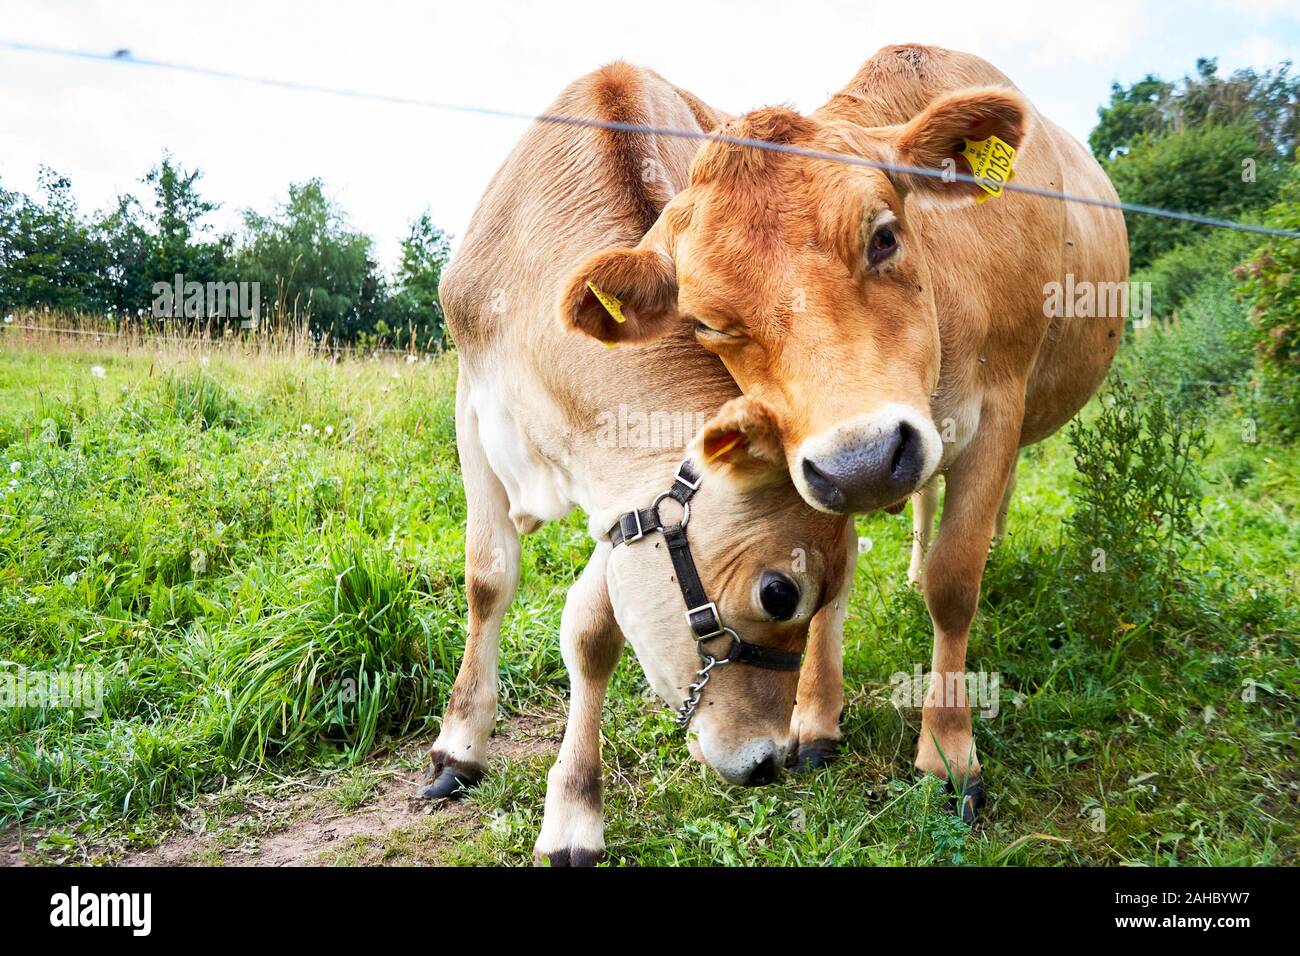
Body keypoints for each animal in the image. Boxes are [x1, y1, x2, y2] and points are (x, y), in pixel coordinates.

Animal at [427, 62, 854, 865]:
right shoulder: (474, 408)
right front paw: (458, 747)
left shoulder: (626, 490)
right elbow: (487, 577)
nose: (766, 763)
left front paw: (574, 811)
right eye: (778, 592)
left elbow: (593, 629)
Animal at [561, 44, 1129, 816]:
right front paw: (815, 718)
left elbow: (955, 584)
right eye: (707, 322)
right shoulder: (819, 461)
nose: (864, 461)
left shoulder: (996, 413)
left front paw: (948, 751)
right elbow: (834, 572)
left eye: (884, 236)